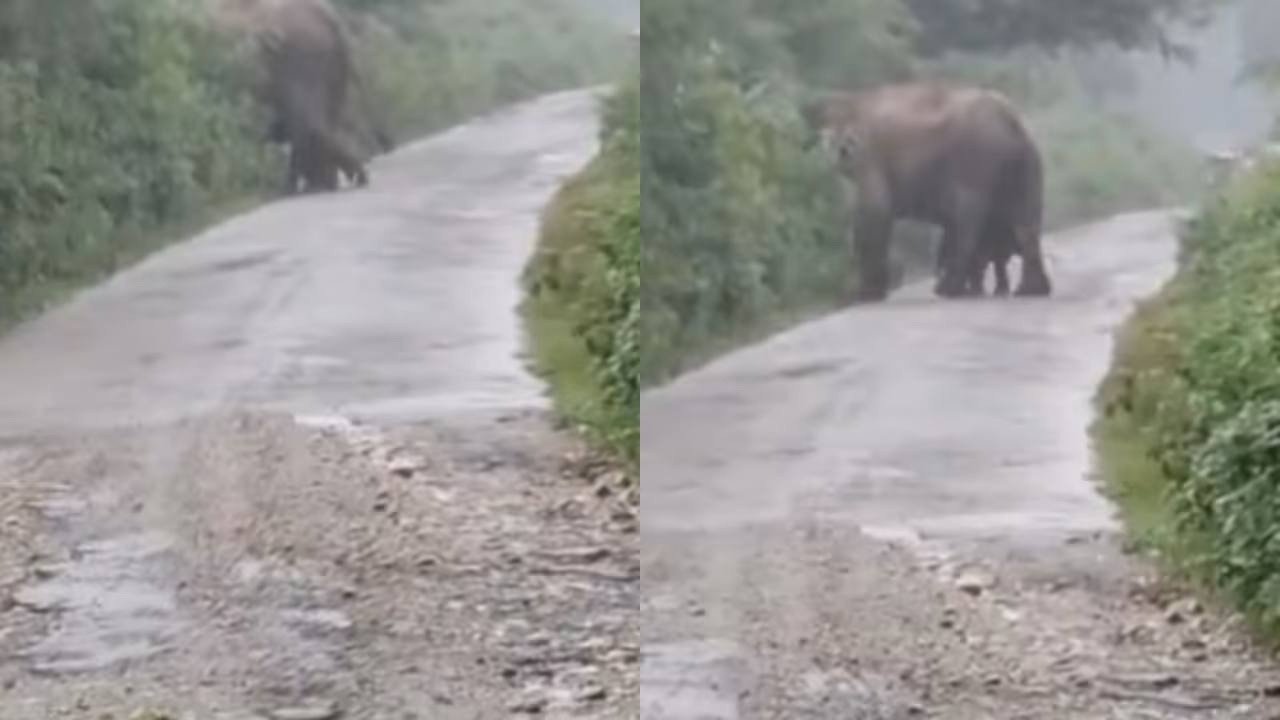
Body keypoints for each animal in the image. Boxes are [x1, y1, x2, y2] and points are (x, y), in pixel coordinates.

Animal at [803, 82, 1052, 302]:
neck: (850, 102)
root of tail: (1012, 122)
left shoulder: (870, 156)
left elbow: (875, 211)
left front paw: (863, 296)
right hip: (1027, 163)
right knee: (1026, 223)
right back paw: (1030, 291)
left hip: (976, 161)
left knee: (967, 223)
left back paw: (949, 290)